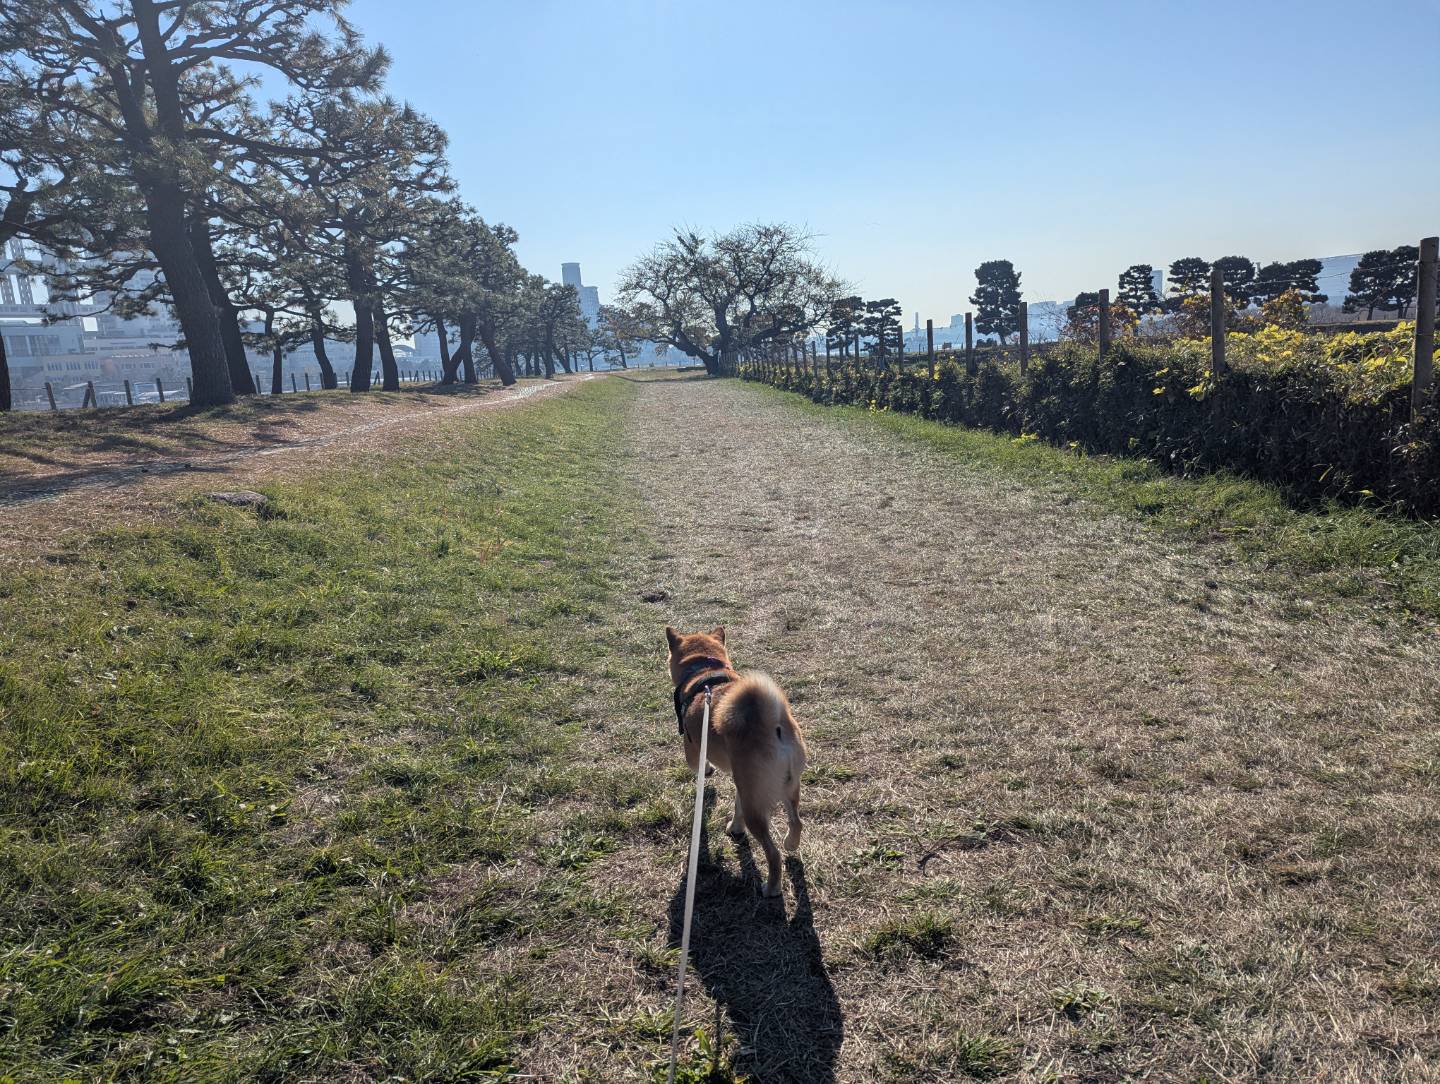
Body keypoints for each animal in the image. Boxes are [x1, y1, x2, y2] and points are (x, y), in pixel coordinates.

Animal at [665, 625, 807, 898]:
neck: (704, 670)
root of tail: (772, 725)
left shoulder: (693, 751)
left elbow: (700, 769)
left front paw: (707, 778)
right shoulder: (741, 781)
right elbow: (737, 804)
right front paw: (735, 827)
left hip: (758, 810)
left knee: (773, 854)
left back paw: (772, 887)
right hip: (786, 786)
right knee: (797, 821)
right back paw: (791, 843)